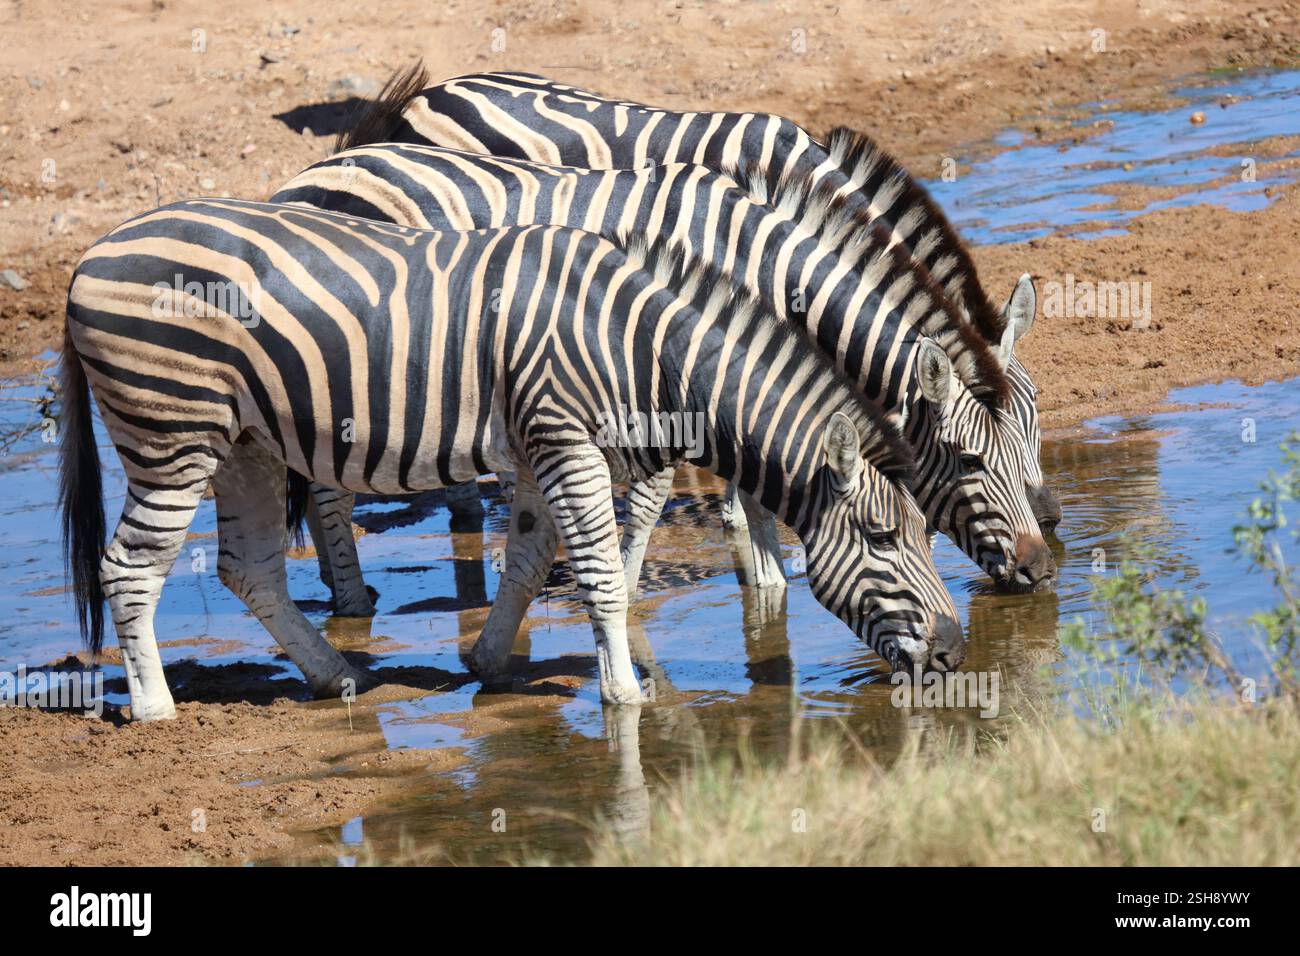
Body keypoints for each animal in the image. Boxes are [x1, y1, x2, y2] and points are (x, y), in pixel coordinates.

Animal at [59, 200, 963, 720]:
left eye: (927, 532)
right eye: (885, 540)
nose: (956, 651)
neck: (638, 346)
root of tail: (90, 254)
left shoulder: (537, 450)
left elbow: (530, 559)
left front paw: (487, 661)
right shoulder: (566, 439)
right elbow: (598, 572)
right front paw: (623, 695)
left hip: (243, 440)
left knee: (248, 568)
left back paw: (333, 677)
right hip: (173, 432)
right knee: (128, 568)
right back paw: (155, 709)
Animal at [273, 139, 1055, 638]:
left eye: (1033, 439)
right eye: (970, 461)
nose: (1042, 568)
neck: (754, 265)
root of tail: (303, 173)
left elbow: (755, 477)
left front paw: (767, 585)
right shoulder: (660, 372)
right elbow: (654, 498)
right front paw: (628, 586)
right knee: (328, 488)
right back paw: (351, 601)